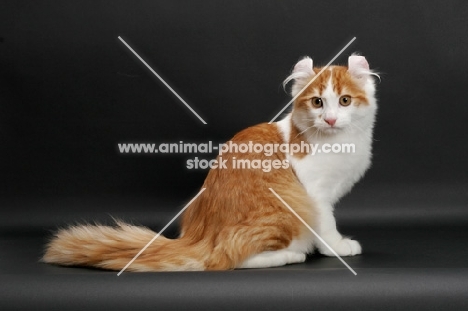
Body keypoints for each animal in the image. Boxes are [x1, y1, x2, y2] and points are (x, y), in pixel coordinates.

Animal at [43, 54, 380, 272]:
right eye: (317, 102)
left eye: (345, 101)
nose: (331, 119)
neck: (340, 141)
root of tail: (198, 239)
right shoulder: (316, 194)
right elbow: (327, 224)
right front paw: (337, 247)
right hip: (287, 208)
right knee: (229, 259)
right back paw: (289, 256)